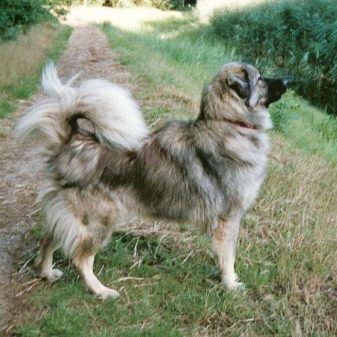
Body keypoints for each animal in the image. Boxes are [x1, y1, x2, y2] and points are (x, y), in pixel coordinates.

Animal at [15, 61, 286, 298]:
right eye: (260, 78)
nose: (288, 80)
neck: (227, 123)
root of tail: (73, 141)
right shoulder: (228, 220)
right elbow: (228, 258)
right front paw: (231, 285)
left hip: (71, 216)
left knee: (49, 239)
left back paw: (47, 272)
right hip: (100, 220)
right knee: (80, 259)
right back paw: (101, 291)